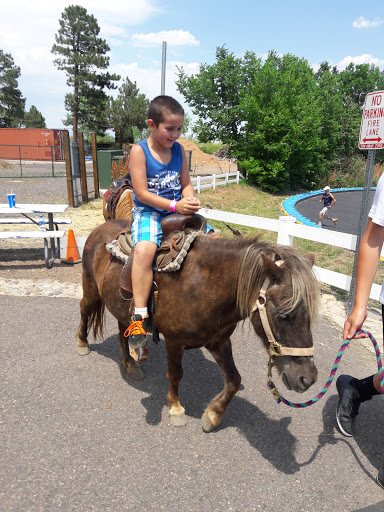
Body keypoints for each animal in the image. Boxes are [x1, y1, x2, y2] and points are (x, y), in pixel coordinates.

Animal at [76, 218, 320, 430]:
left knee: (122, 331)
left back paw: (129, 364)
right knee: (84, 310)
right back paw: (82, 344)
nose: (307, 378)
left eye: (310, 316)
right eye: (284, 315)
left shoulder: (218, 341)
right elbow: (175, 374)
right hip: (91, 290)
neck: (203, 284)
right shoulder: (174, 341)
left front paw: (212, 415)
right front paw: (176, 410)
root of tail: (101, 228)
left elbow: (234, 379)